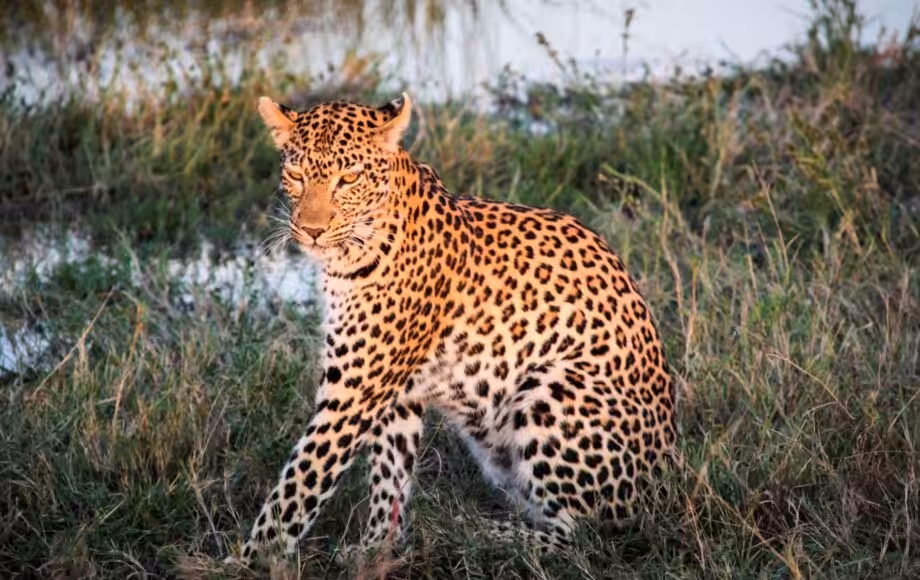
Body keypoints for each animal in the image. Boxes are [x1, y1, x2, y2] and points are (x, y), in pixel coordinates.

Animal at [225, 92, 677, 568]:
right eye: (295, 175)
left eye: (348, 178)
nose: (311, 231)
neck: (351, 253)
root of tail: (664, 474)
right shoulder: (395, 393)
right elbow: (389, 472)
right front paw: (376, 548)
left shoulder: (353, 391)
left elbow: (300, 482)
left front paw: (251, 560)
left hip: (551, 387)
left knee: (583, 532)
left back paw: (481, 532)